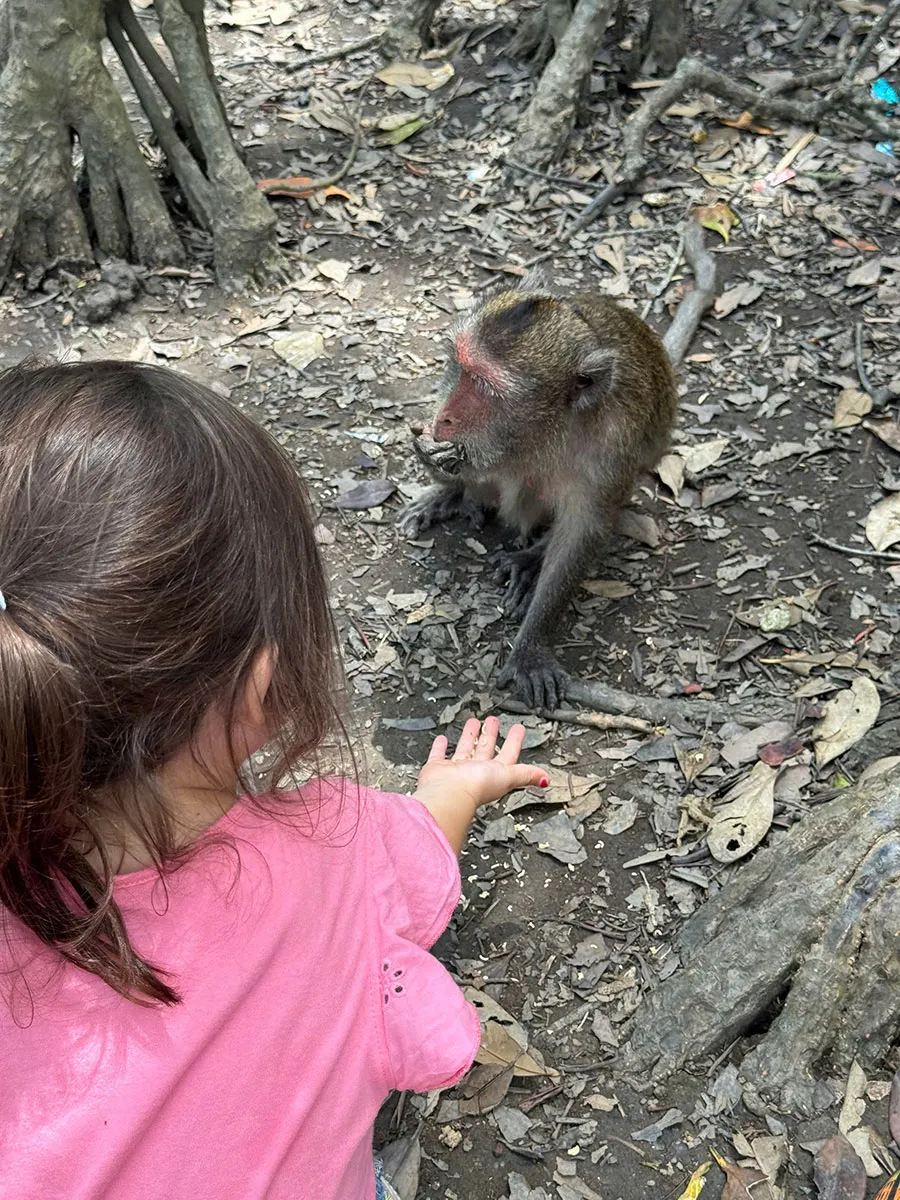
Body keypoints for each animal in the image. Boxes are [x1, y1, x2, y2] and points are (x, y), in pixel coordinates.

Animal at [397, 283, 678, 710]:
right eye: (461, 368)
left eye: (484, 386)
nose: (444, 417)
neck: (549, 428)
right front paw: (438, 463)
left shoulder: (611, 448)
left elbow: (582, 532)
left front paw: (532, 647)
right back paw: (455, 495)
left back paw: (530, 559)